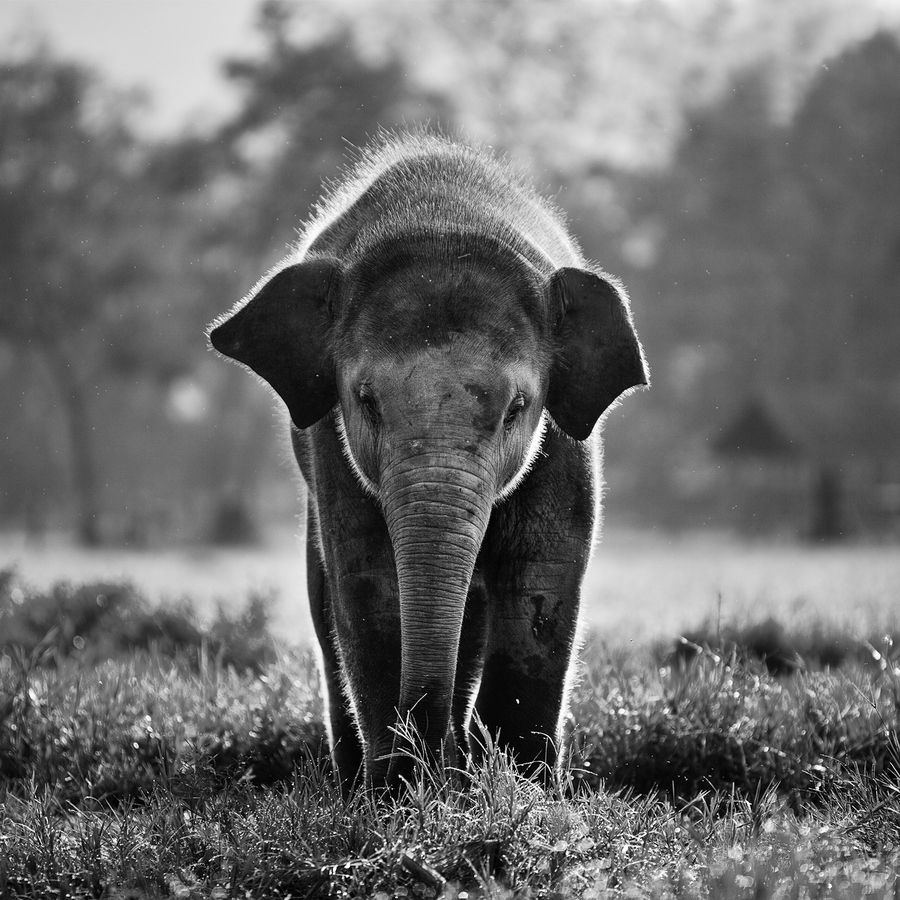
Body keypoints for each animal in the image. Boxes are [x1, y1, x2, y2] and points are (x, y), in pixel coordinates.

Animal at [208, 133, 648, 790]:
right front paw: (398, 791)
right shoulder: (331, 446)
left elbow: (540, 579)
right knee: (326, 597)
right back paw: (358, 778)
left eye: (518, 407)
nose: (436, 757)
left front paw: (522, 786)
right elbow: (368, 582)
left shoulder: (567, 450)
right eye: (366, 400)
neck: (446, 219)